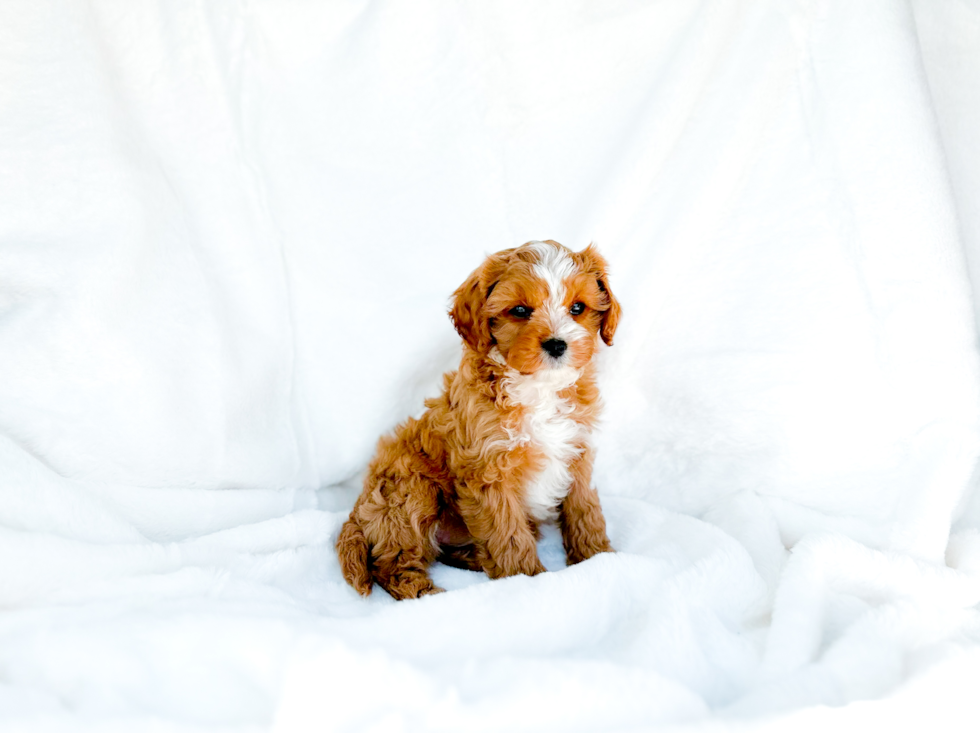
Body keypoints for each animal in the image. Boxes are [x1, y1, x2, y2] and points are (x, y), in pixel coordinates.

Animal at [338, 237, 620, 596]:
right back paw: (423, 591)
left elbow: (584, 510)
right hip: (410, 491)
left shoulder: (576, 451)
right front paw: (528, 579)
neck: (538, 388)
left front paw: (597, 558)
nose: (557, 345)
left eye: (578, 308)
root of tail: (358, 513)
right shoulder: (488, 470)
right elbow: (508, 532)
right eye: (520, 311)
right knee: (392, 560)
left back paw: (475, 559)